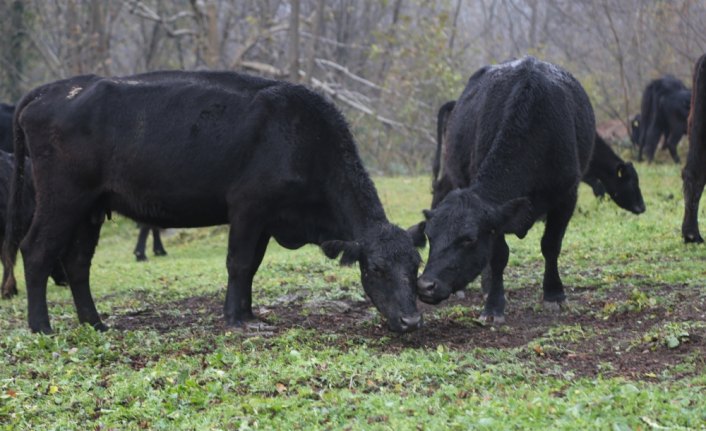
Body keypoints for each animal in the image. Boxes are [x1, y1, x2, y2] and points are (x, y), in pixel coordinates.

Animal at [412, 57, 592, 322]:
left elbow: (551, 245)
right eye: (430, 236)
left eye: (469, 239)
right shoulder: (496, 216)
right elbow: (498, 256)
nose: (425, 286)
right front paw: (494, 305)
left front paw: (554, 294)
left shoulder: (566, 196)